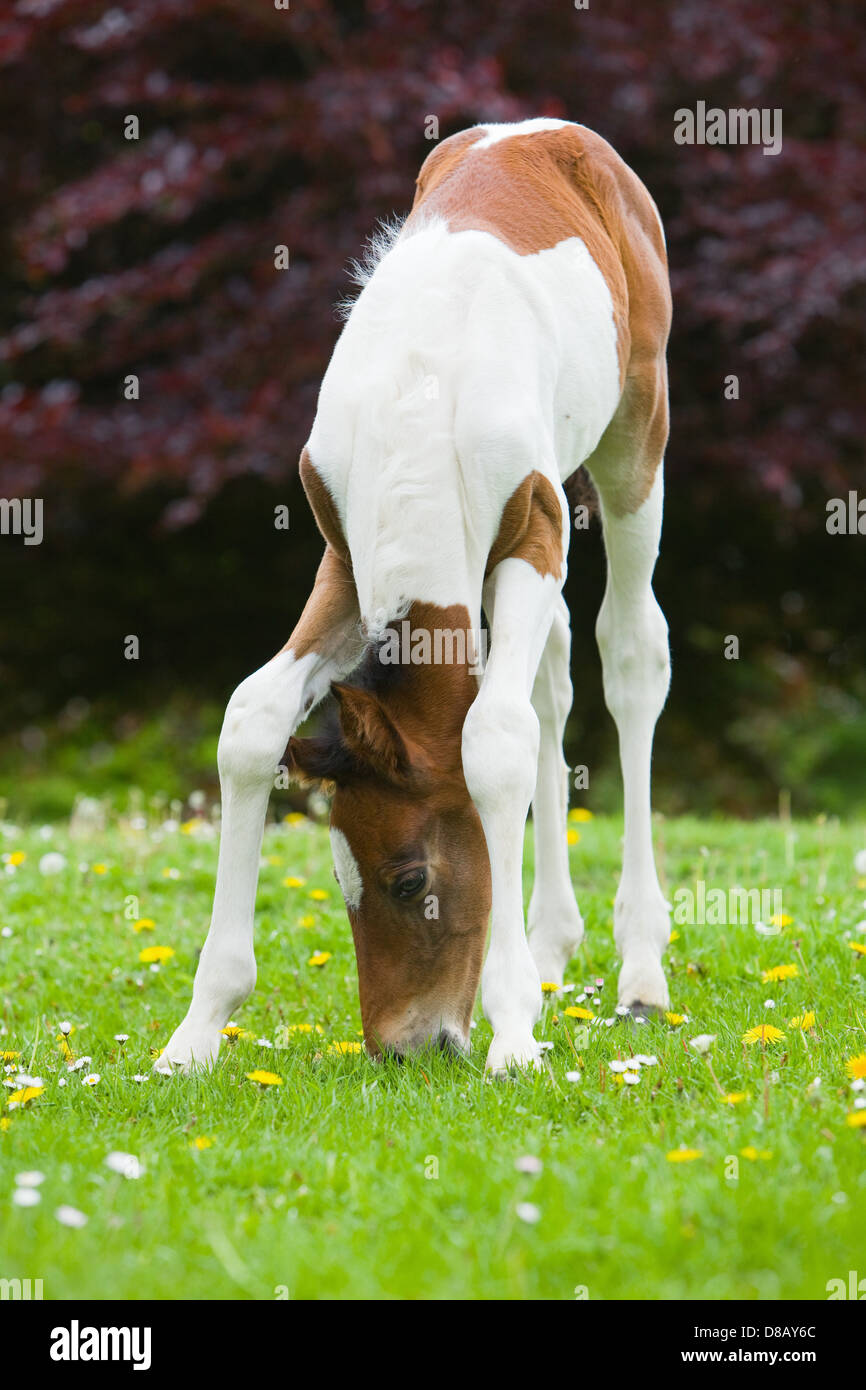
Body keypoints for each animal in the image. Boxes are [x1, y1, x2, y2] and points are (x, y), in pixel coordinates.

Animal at [155, 119, 675, 1073]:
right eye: (340, 882)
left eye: (409, 879)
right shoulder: (342, 561)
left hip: (636, 440)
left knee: (629, 655)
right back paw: (550, 946)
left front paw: (513, 1034)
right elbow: (251, 717)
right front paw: (194, 1035)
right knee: (553, 677)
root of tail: (548, 130)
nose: (406, 1047)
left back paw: (641, 971)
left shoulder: (531, 540)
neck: (419, 405)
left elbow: (494, 741)